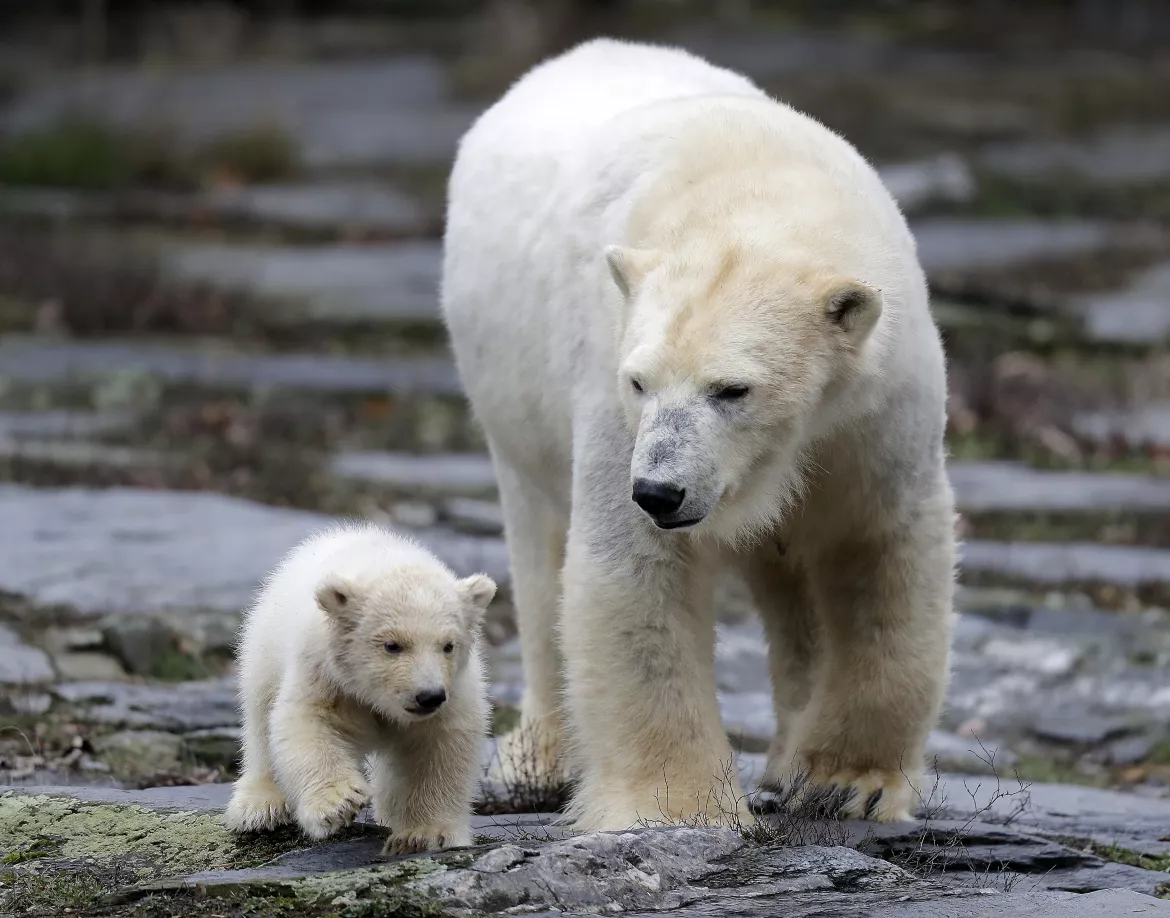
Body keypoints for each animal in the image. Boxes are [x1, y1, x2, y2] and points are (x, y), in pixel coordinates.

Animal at [442, 37, 954, 832]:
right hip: (513, 400)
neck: (750, 188)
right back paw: (540, 760)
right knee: (539, 551)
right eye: (640, 381)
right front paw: (680, 810)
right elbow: (636, 574)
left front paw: (848, 783)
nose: (660, 491)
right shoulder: (608, 380)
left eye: (732, 389)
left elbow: (877, 550)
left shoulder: (875, 407)